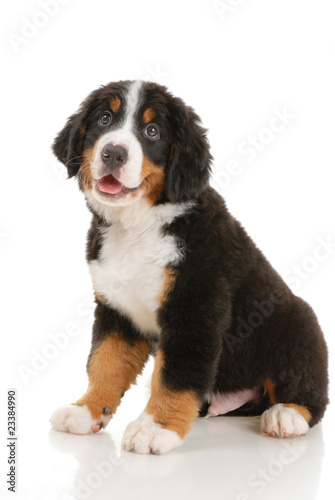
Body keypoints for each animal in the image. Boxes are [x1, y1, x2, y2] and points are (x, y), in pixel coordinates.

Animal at [51, 80, 330, 456]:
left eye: (152, 131)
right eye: (104, 119)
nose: (113, 153)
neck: (138, 225)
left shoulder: (195, 309)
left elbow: (175, 376)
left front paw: (155, 427)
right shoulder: (116, 310)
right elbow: (104, 361)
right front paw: (87, 409)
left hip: (302, 323)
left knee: (310, 391)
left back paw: (286, 414)